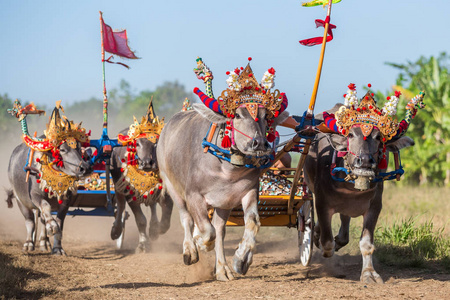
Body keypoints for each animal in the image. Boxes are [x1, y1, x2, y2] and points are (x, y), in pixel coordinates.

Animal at [304, 87, 424, 284]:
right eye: (351, 135)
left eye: (378, 137)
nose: (365, 161)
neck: (352, 187)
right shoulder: (321, 202)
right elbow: (327, 242)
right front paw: (325, 247)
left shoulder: (374, 206)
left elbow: (366, 244)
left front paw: (369, 273)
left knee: (344, 230)